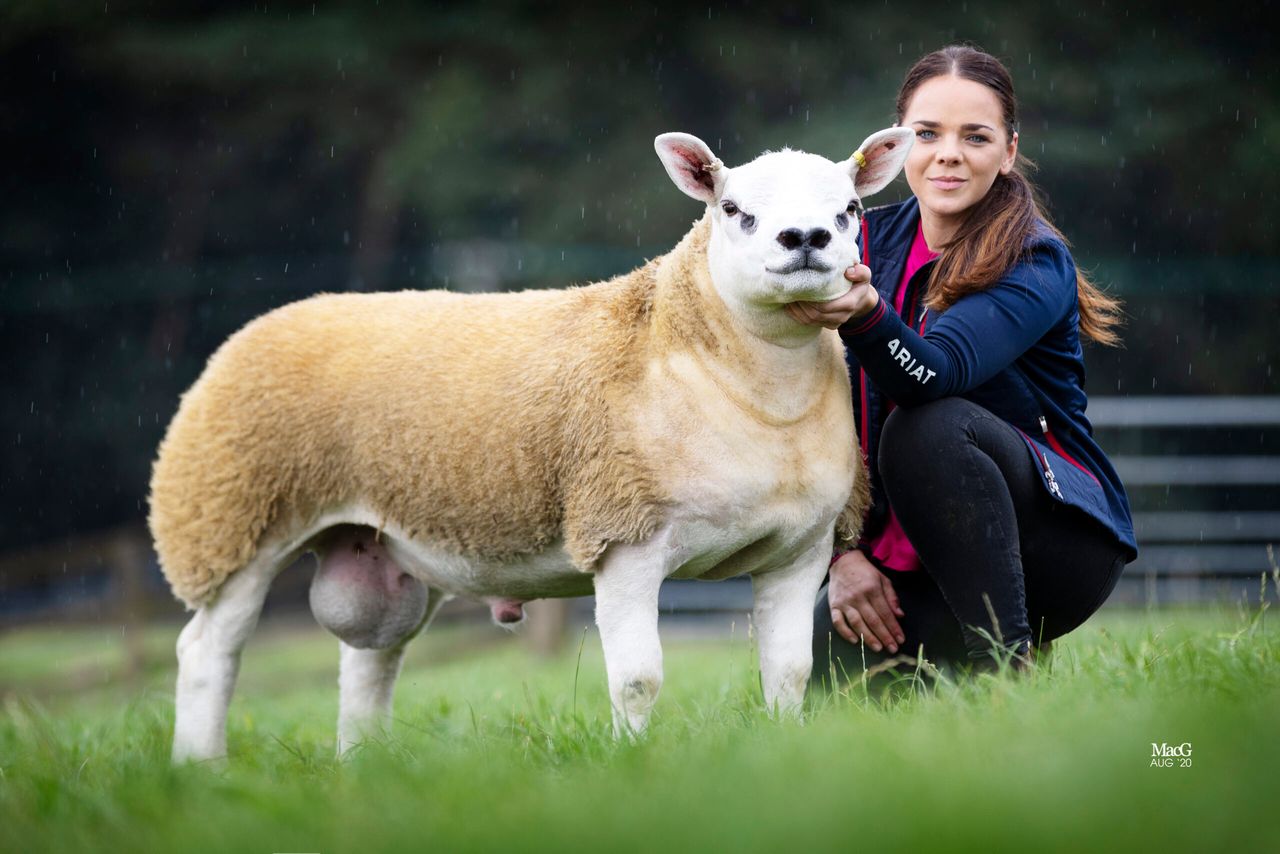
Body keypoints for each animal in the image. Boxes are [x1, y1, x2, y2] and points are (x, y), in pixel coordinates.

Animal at [151, 127, 914, 762]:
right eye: (732, 209)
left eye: (850, 208)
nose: (804, 237)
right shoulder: (624, 535)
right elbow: (638, 679)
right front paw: (633, 761)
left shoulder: (801, 549)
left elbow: (789, 671)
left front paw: (787, 746)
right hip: (232, 517)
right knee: (207, 653)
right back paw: (201, 769)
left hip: (379, 543)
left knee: (369, 664)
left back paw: (360, 766)